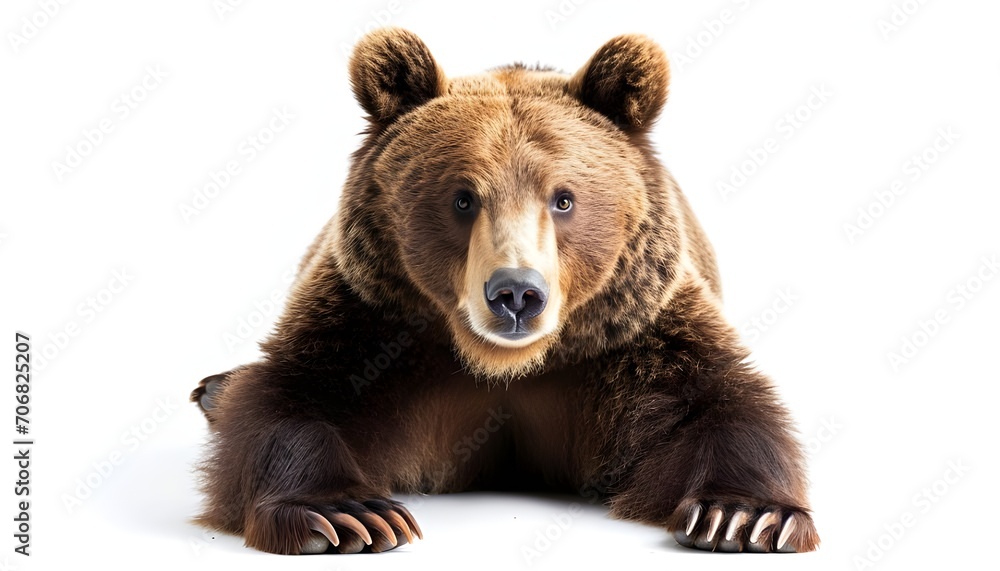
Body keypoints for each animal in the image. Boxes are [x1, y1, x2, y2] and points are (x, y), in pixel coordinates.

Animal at [190, 27, 820, 555]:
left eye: (563, 198)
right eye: (462, 197)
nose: (516, 293)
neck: (506, 365)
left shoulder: (633, 334)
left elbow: (717, 405)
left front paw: (742, 515)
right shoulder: (376, 321)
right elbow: (295, 395)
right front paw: (350, 515)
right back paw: (214, 389)